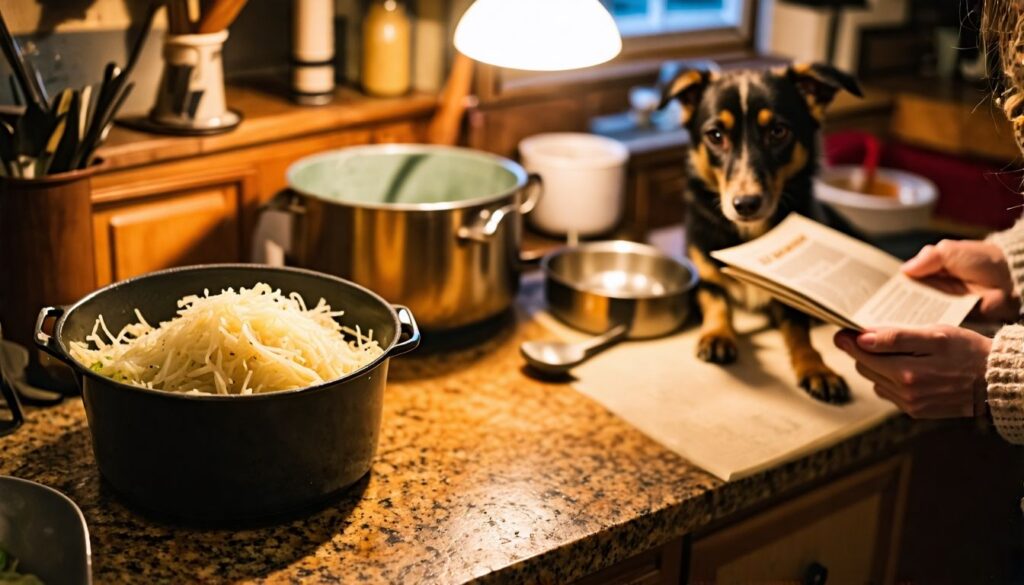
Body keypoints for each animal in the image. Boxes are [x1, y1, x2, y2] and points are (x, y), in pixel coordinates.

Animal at [663, 64, 864, 403]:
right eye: (716, 135)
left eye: (778, 131)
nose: (745, 204)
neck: (750, 235)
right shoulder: (703, 273)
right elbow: (716, 302)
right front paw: (717, 336)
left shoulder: (790, 297)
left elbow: (799, 332)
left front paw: (816, 368)